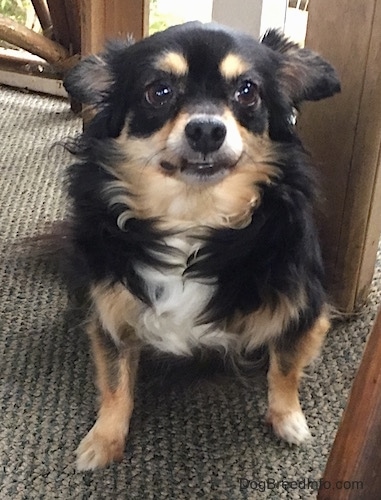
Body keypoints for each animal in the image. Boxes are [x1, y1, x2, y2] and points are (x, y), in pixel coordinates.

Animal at [62, 20, 338, 472]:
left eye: (247, 91)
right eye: (158, 91)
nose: (206, 129)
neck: (194, 216)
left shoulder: (303, 308)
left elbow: (285, 366)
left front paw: (287, 418)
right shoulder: (110, 312)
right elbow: (116, 381)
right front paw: (103, 439)